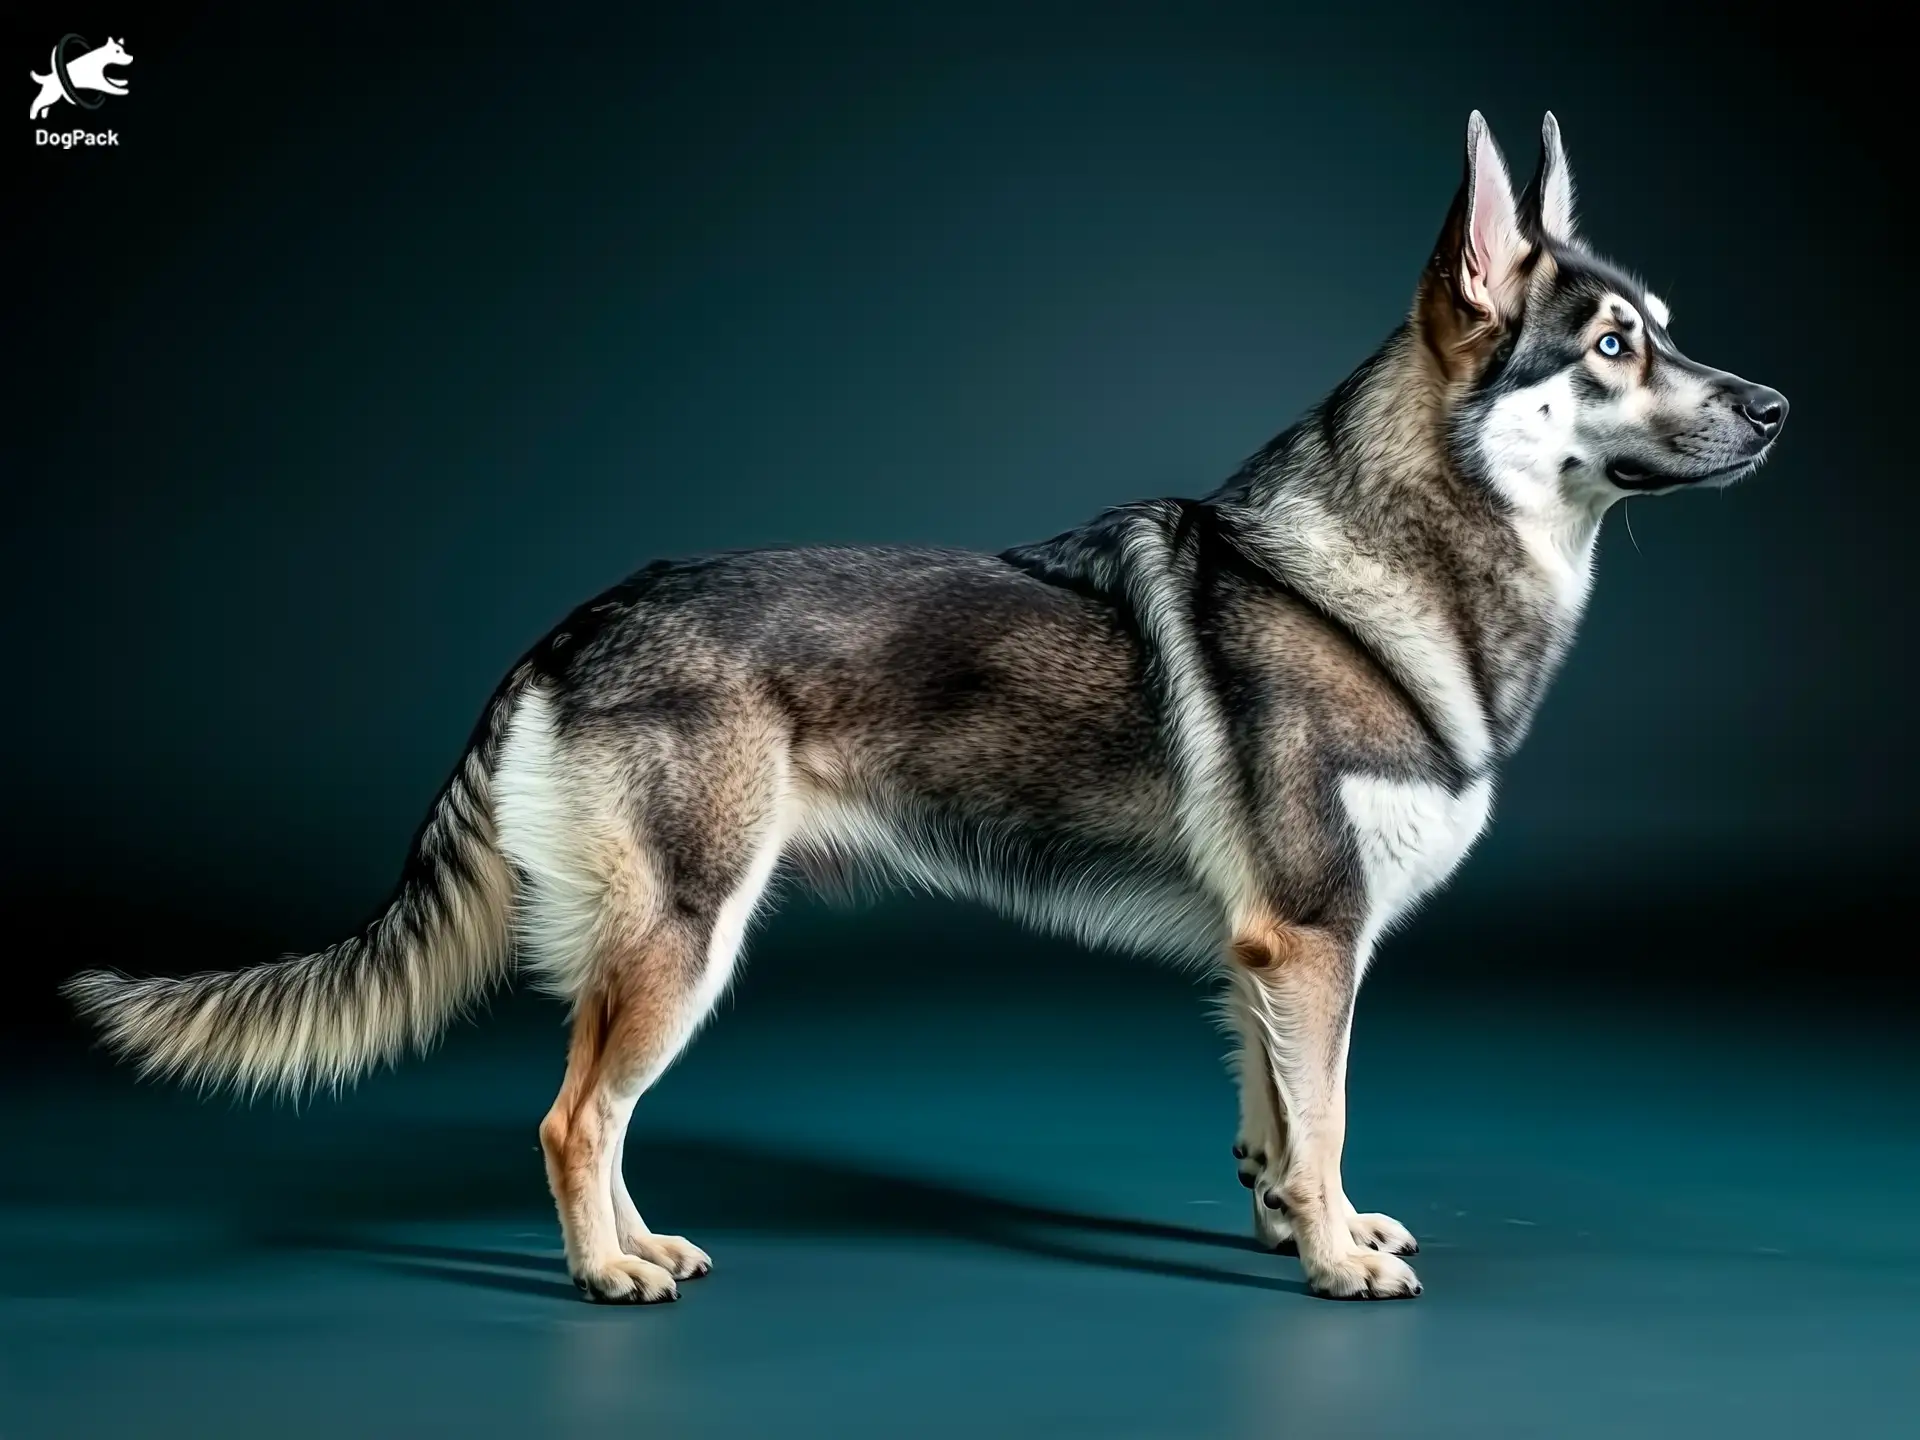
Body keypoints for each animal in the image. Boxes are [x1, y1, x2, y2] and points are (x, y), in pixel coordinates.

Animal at [63, 115, 1781, 1305]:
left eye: (1666, 328)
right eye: (1614, 347)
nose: (1777, 405)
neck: (1386, 569)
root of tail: (571, 622)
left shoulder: (1271, 960)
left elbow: (1281, 1131)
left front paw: (1311, 1228)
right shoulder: (1311, 940)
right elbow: (1332, 1114)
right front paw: (1341, 1265)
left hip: (671, 946)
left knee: (593, 1115)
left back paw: (646, 1250)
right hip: (686, 936)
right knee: (570, 1121)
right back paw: (606, 1277)